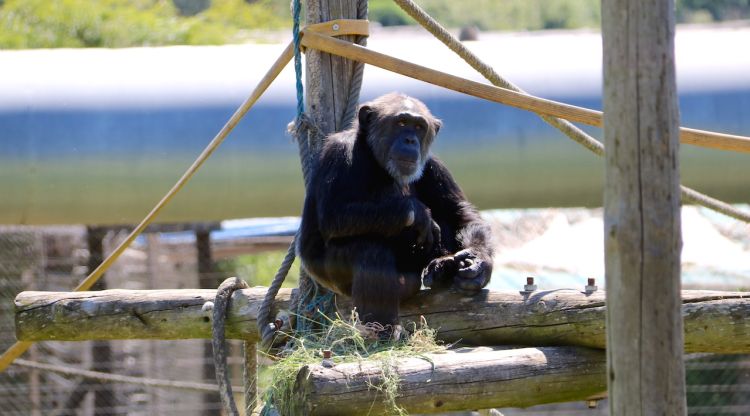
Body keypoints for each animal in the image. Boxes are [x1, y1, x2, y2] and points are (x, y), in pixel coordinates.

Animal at [296, 92, 496, 332]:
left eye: (419, 127)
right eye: (401, 123)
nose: (410, 140)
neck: (374, 157)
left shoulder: (434, 165)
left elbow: (460, 214)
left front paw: (478, 262)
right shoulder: (338, 153)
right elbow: (333, 215)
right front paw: (418, 214)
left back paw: (444, 266)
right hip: (333, 280)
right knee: (370, 252)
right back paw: (381, 331)